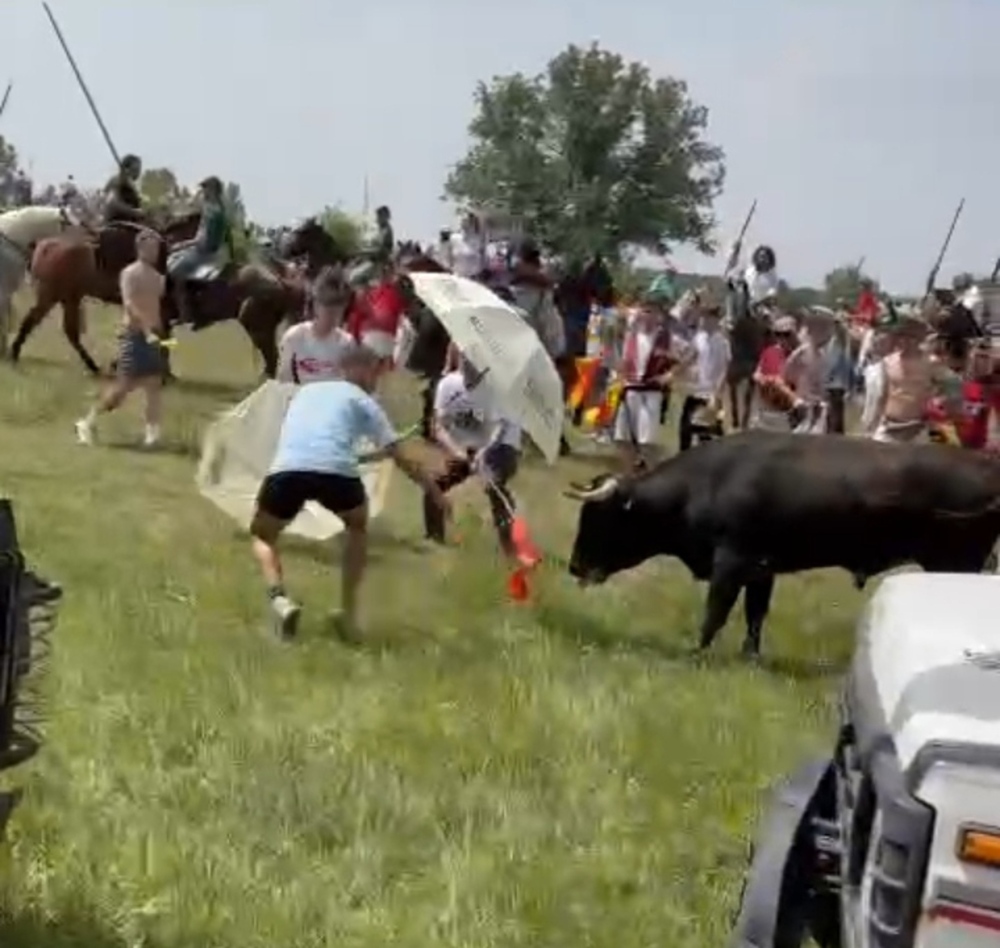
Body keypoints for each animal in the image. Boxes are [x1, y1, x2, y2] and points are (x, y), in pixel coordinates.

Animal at [568, 434, 1000, 656]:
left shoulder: (732, 563)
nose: (574, 566)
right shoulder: (762, 568)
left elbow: (715, 613)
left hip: (956, 564)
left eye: (598, 517)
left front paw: (696, 653)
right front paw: (749, 656)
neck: (704, 483)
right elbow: (755, 615)